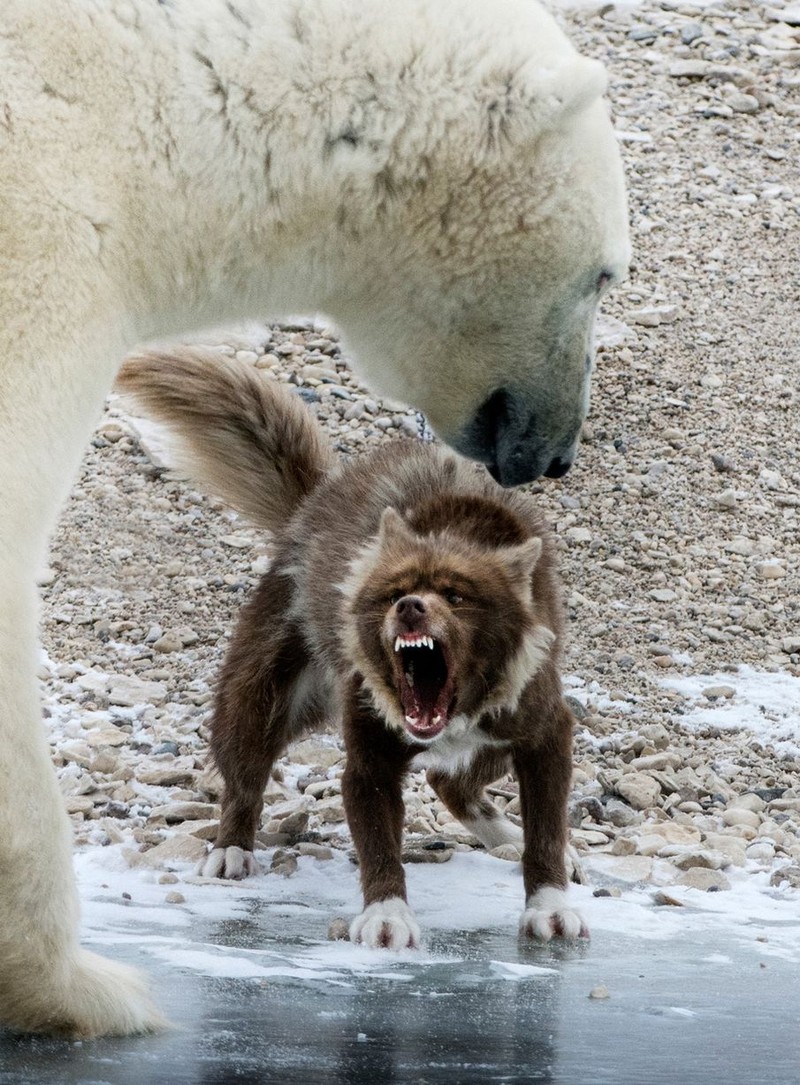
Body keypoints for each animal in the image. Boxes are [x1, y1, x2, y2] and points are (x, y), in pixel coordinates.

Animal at [117, 349, 586, 950]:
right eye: (392, 590)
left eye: (457, 595)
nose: (409, 606)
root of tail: (313, 507)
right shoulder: (371, 755)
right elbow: (379, 842)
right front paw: (387, 916)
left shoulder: (544, 730)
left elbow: (546, 831)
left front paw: (550, 903)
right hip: (262, 695)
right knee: (245, 775)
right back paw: (231, 849)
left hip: (500, 736)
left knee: (449, 779)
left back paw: (507, 835)